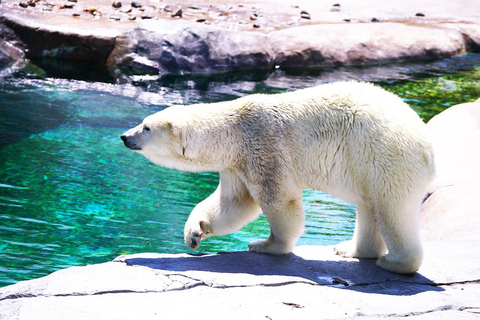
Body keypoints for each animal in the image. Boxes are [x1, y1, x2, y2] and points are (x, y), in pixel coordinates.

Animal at [121, 81, 436, 274]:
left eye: (146, 127)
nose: (125, 136)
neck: (232, 130)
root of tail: (428, 146)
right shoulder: (236, 164)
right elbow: (233, 203)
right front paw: (194, 232)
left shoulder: (263, 145)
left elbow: (279, 200)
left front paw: (264, 245)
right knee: (369, 205)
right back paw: (351, 250)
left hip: (383, 154)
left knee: (391, 208)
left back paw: (394, 262)